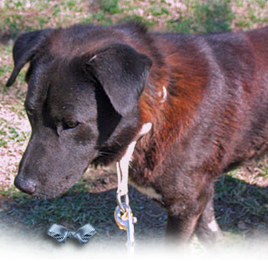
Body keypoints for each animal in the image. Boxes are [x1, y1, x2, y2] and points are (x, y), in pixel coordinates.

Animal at [6, 22, 268, 258]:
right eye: (30, 112)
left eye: (71, 124)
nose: (22, 185)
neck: (158, 110)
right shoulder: (199, 197)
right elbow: (211, 235)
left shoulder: (185, 206)